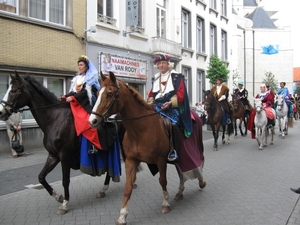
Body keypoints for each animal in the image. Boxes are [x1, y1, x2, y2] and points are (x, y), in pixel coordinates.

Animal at [0, 73, 123, 215]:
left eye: (14, 90)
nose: (2, 112)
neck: (54, 119)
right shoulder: (53, 156)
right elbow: (41, 177)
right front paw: (58, 196)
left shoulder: (65, 155)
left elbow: (65, 180)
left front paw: (64, 204)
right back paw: (103, 190)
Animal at [89, 72, 206, 225]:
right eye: (97, 93)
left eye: (109, 94)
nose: (92, 121)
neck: (140, 130)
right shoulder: (131, 161)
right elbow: (128, 187)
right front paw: (122, 215)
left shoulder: (160, 160)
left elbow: (163, 180)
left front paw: (165, 204)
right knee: (181, 171)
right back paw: (180, 192)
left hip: (193, 149)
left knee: (198, 163)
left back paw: (201, 181)